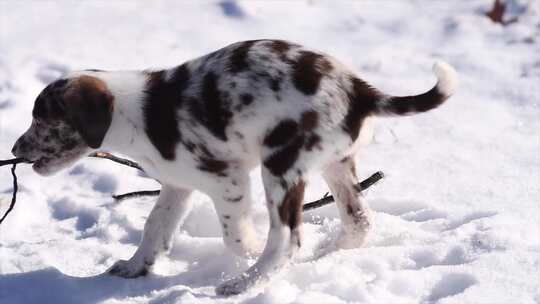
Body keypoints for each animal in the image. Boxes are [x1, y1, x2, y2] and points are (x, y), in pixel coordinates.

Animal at [10, 39, 458, 294]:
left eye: (42, 119)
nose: (15, 148)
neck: (137, 116)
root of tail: (361, 91)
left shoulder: (227, 179)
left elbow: (235, 237)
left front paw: (248, 251)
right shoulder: (177, 184)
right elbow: (154, 229)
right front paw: (136, 267)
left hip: (280, 166)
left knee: (287, 239)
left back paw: (245, 283)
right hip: (337, 163)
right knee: (360, 220)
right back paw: (328, 253)